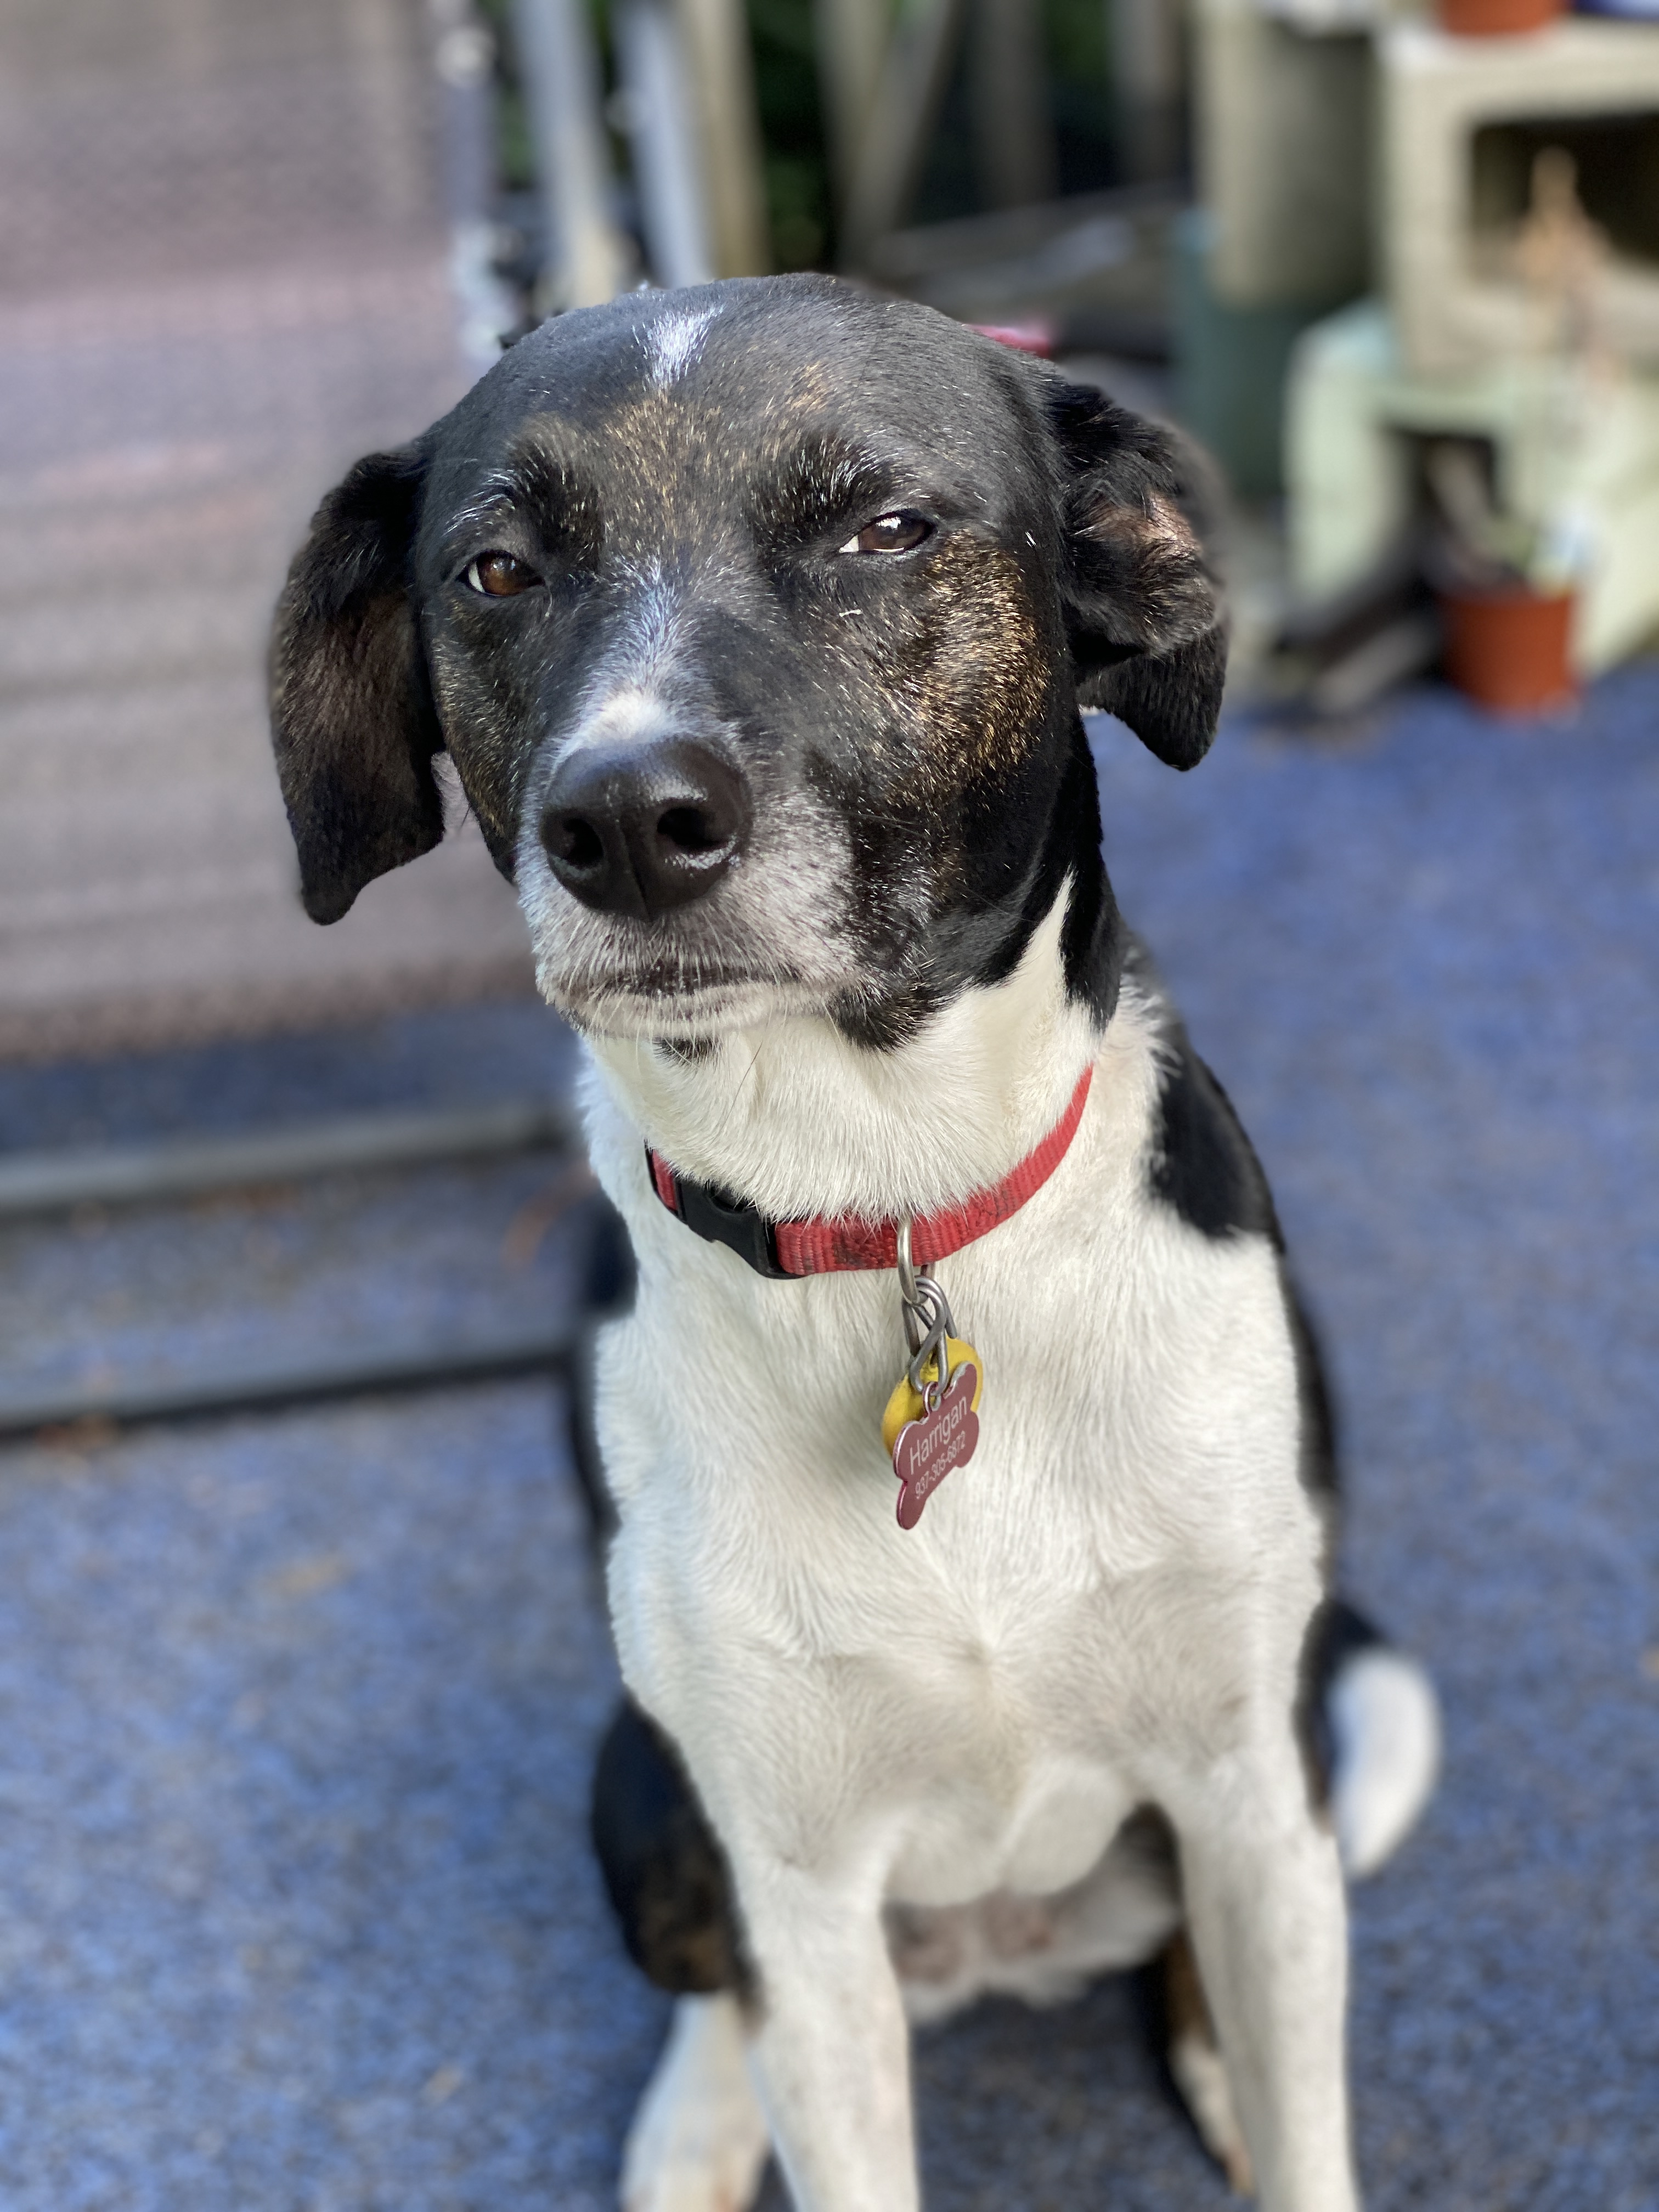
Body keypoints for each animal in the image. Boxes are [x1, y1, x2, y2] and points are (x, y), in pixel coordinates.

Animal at [269, 275, 1440, 2211]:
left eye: (884, 529)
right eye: (499, 570)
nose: (625, 823)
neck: (885, 1212)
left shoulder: (1249, 1784)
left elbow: (1304, 2125)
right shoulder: (796, 1883)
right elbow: (791, 2034)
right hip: (641, 1785)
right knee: (713, 1990)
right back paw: (691, 2129)